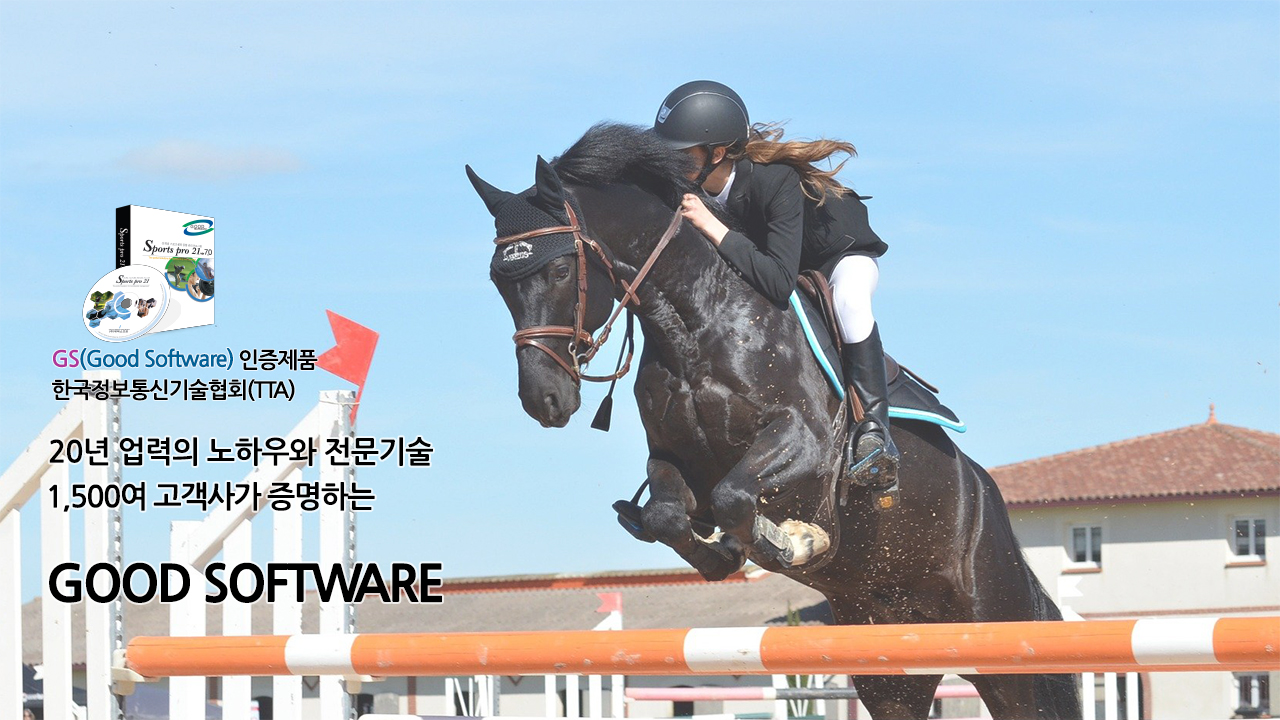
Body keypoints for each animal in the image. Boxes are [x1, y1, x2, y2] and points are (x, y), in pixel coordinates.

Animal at [468, 123, 1080, 720]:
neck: (695, 322)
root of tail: (986, 495)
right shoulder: (673, 459)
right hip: (888, 661)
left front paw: (794, 541)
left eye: (560, 268)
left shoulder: (804, 443)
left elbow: (737, 495)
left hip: (1001, 636)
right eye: (498, 281)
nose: (544, 399)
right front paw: (722, 554)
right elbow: (670, 515)